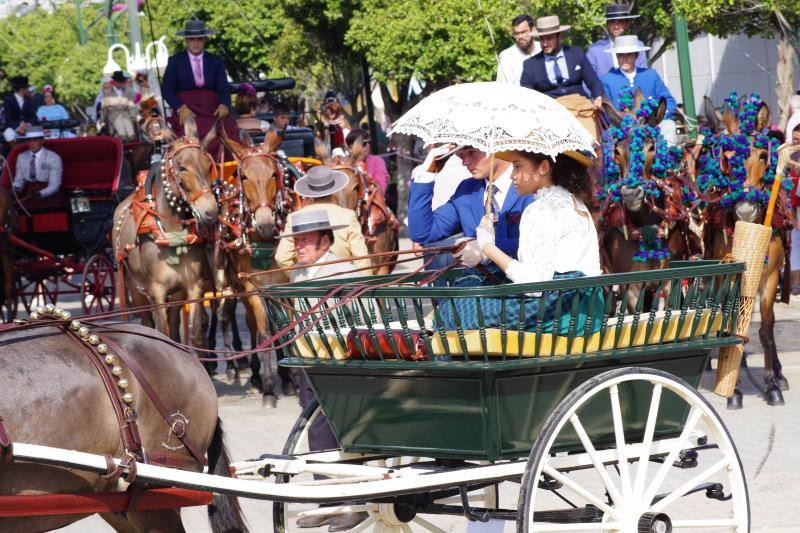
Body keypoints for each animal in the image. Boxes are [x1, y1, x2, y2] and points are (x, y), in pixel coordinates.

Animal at [112, 117, 219, 362]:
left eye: (208, 166)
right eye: (182, 167)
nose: (210, 211)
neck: (172, 234)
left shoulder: (193, 288)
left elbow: (197, 335)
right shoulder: (156, 291)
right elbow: (161, 333)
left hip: (176, 295)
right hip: (135, 290)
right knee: (147, 323)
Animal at [704, 98, 792, 408]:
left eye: (763, 155)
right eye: (727, 158)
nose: (744, 209)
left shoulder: (770, 276)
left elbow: (766, 329)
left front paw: (771, 384)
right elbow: (728, 327)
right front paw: (734, 390)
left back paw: (778, 373)